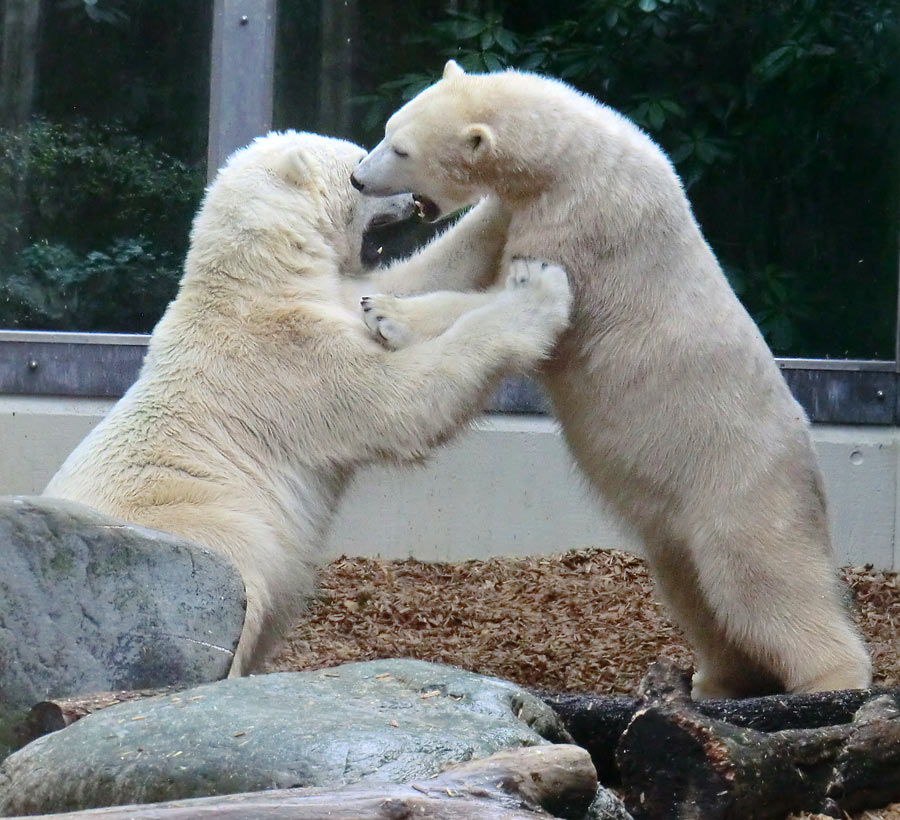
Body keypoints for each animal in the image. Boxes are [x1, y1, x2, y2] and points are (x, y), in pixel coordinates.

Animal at [44, 131, 568, 676]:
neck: (255, 279)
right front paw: (538, 292)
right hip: (192, 522)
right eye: (359, 165)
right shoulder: (286, 360)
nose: (413, 199)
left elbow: (415, 277)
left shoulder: (330, 296)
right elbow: (402, 399)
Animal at [352, 60, 872, 696]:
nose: (357, 177)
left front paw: (386, 313)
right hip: (685, 521)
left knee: (762, 584)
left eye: (400, 148)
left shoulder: (588, 226)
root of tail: (811, 476)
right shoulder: (526, 207)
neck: (568, 159)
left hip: (742, 487)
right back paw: (714, 682)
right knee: (694, 592)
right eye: (387, 128)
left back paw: (830, 683)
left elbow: (512, 300)